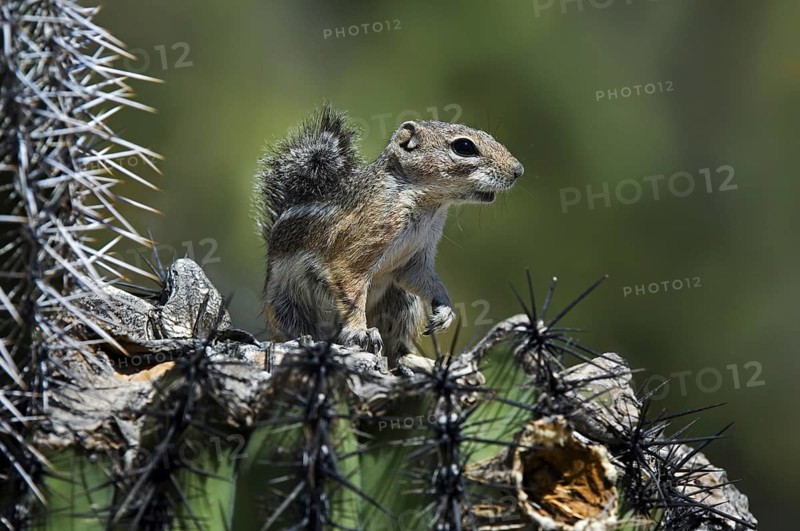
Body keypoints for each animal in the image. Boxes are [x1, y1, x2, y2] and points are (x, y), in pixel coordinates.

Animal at [255, 104, 523, 365]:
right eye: (464, 147)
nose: (518, 170)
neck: (428, 204)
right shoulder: (359, 245)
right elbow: (350, 285)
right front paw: (359, 331)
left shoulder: (416, 257)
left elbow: (422, 278)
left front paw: (445, 310)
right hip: (286, 304)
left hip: (403, 301)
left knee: (396, 348)